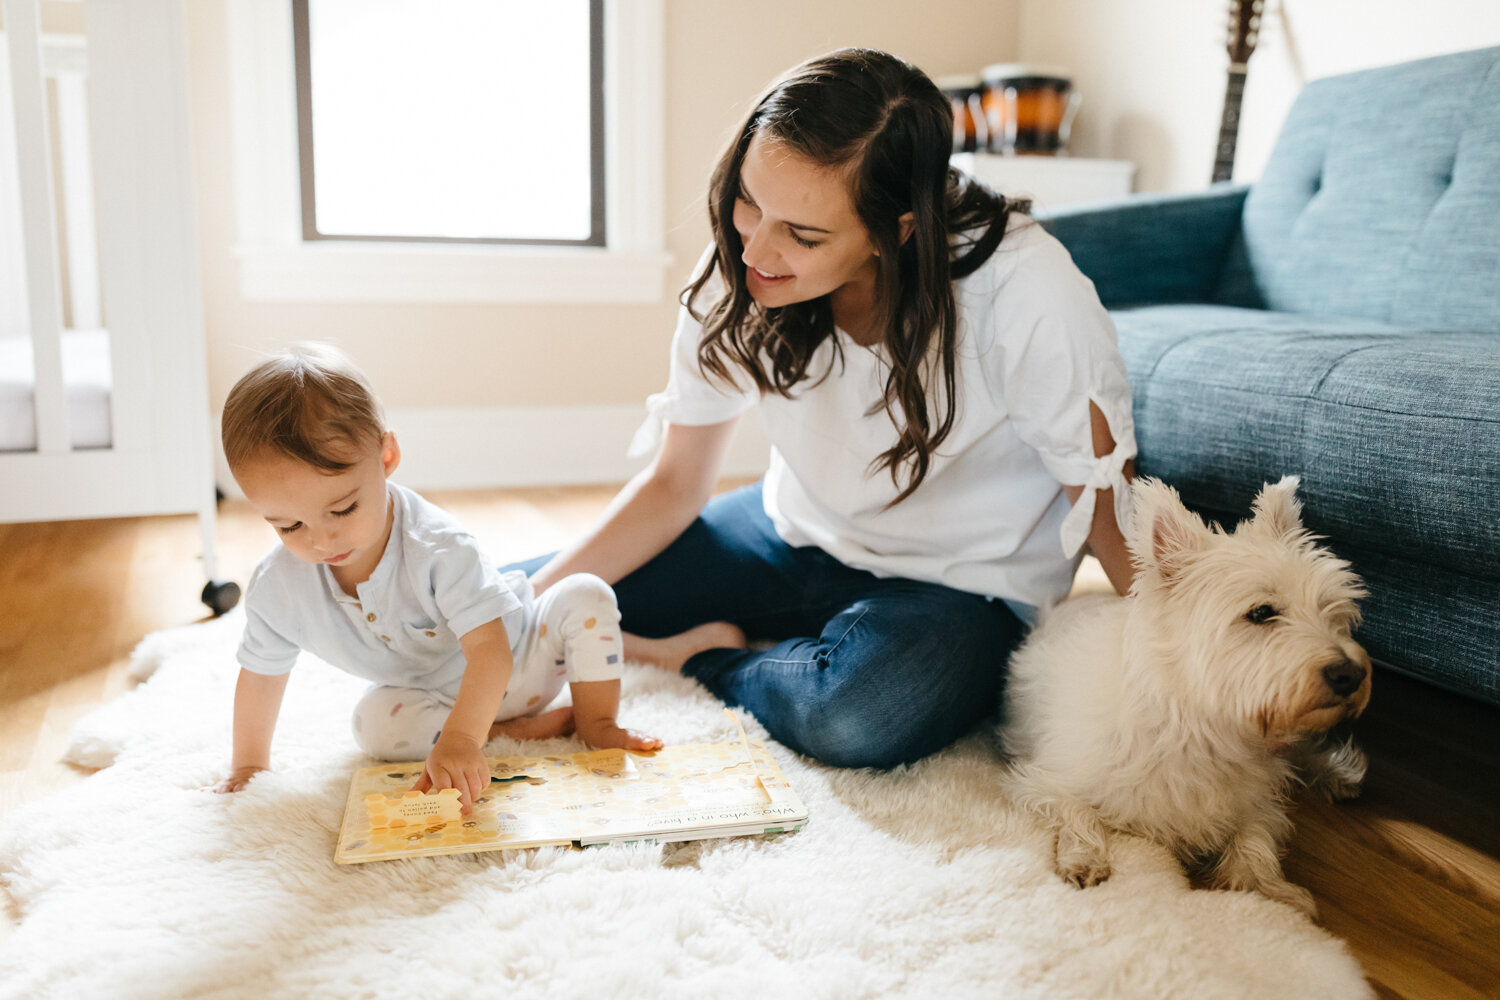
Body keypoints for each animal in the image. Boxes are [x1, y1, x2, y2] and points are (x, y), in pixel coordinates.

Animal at [1002, 476, 1374, 917]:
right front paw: (1085, 860)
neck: (1198, 726)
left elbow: (1255, 840)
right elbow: (1079, 815)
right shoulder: (1043, 780)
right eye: (1261, 612)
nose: (1351, 675)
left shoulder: (1257, 799)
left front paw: (1270, 891)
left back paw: (1337, 774)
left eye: (1330, 610)